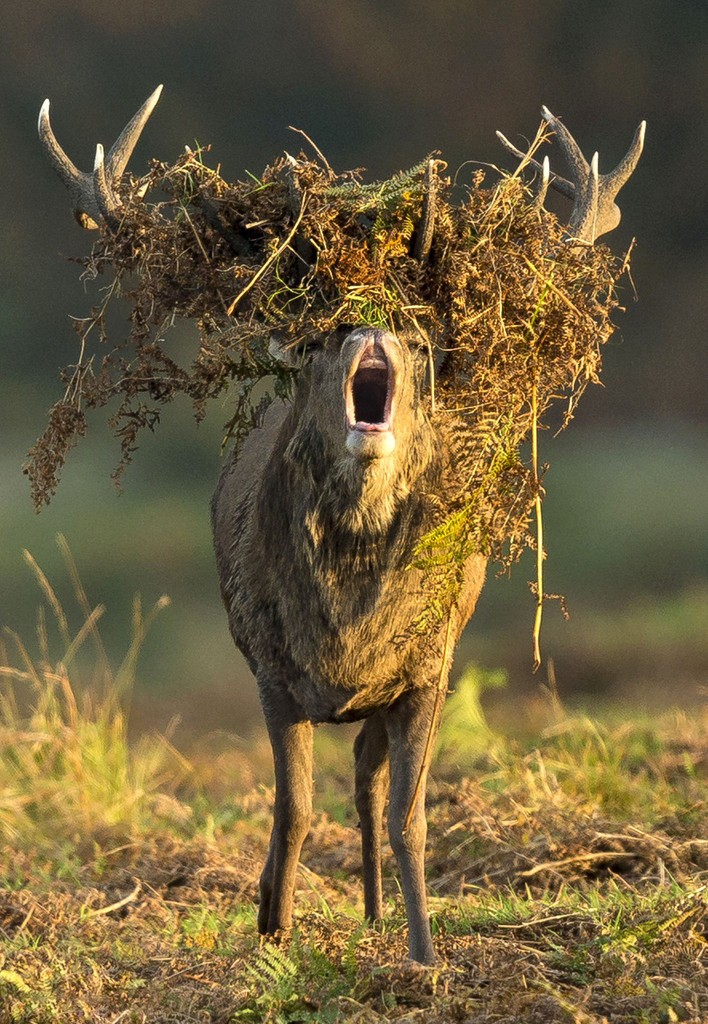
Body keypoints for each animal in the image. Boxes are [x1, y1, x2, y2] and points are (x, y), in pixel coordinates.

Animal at [38, 89, 644, 964]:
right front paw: (274, 935)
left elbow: (411, 818)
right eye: (323, 333)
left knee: (368, 780)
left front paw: (425, 956)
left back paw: (377, 911)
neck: (345, 624)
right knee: (344, 782)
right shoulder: (270, 665)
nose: (370, 332)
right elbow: (292, 810)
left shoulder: (428, 664)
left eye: (418, 337)